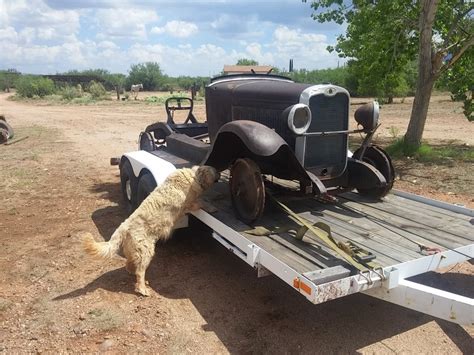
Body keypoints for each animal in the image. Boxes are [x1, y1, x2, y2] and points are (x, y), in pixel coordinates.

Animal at [83, 167, 218, 298]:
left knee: (129, 265)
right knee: (140, 272)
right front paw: (212, 207)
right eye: (215, 171)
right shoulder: (190, 203)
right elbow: (201, 201)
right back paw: (142, 289)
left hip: (135, 251)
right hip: (146, 251)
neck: (194, 176)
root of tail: (122, 227)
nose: (220, 174)